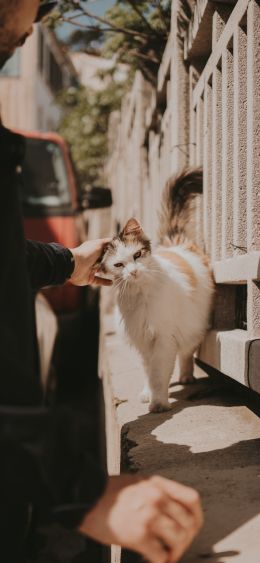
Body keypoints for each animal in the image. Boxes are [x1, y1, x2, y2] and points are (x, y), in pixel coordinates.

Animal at [99, 169, 213, 414]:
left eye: (137, 255)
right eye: (119, 265)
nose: (133, 272)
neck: (139, 294)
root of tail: (176, 242)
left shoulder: (163, 338)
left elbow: (159, 373)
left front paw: (159, 403)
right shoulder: (142, 339)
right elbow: (149, 371)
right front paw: (148, 393)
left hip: (192, 324)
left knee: (186, 353)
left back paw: (186, 376)